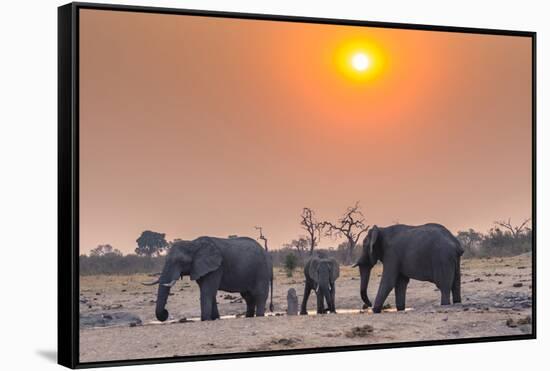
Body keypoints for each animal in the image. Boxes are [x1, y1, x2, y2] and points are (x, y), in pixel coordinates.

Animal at [141, 238, 272, 322]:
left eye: (180, 261)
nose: (166, 313)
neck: (194, 244)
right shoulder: (200, 268)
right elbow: (210, 292)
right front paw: (215, 318)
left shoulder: (216, 267)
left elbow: (207, 291)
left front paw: (205, 319)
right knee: (248, 296)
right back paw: (248, 316)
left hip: (261, 270)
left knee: (259, 294)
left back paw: (259, 316)